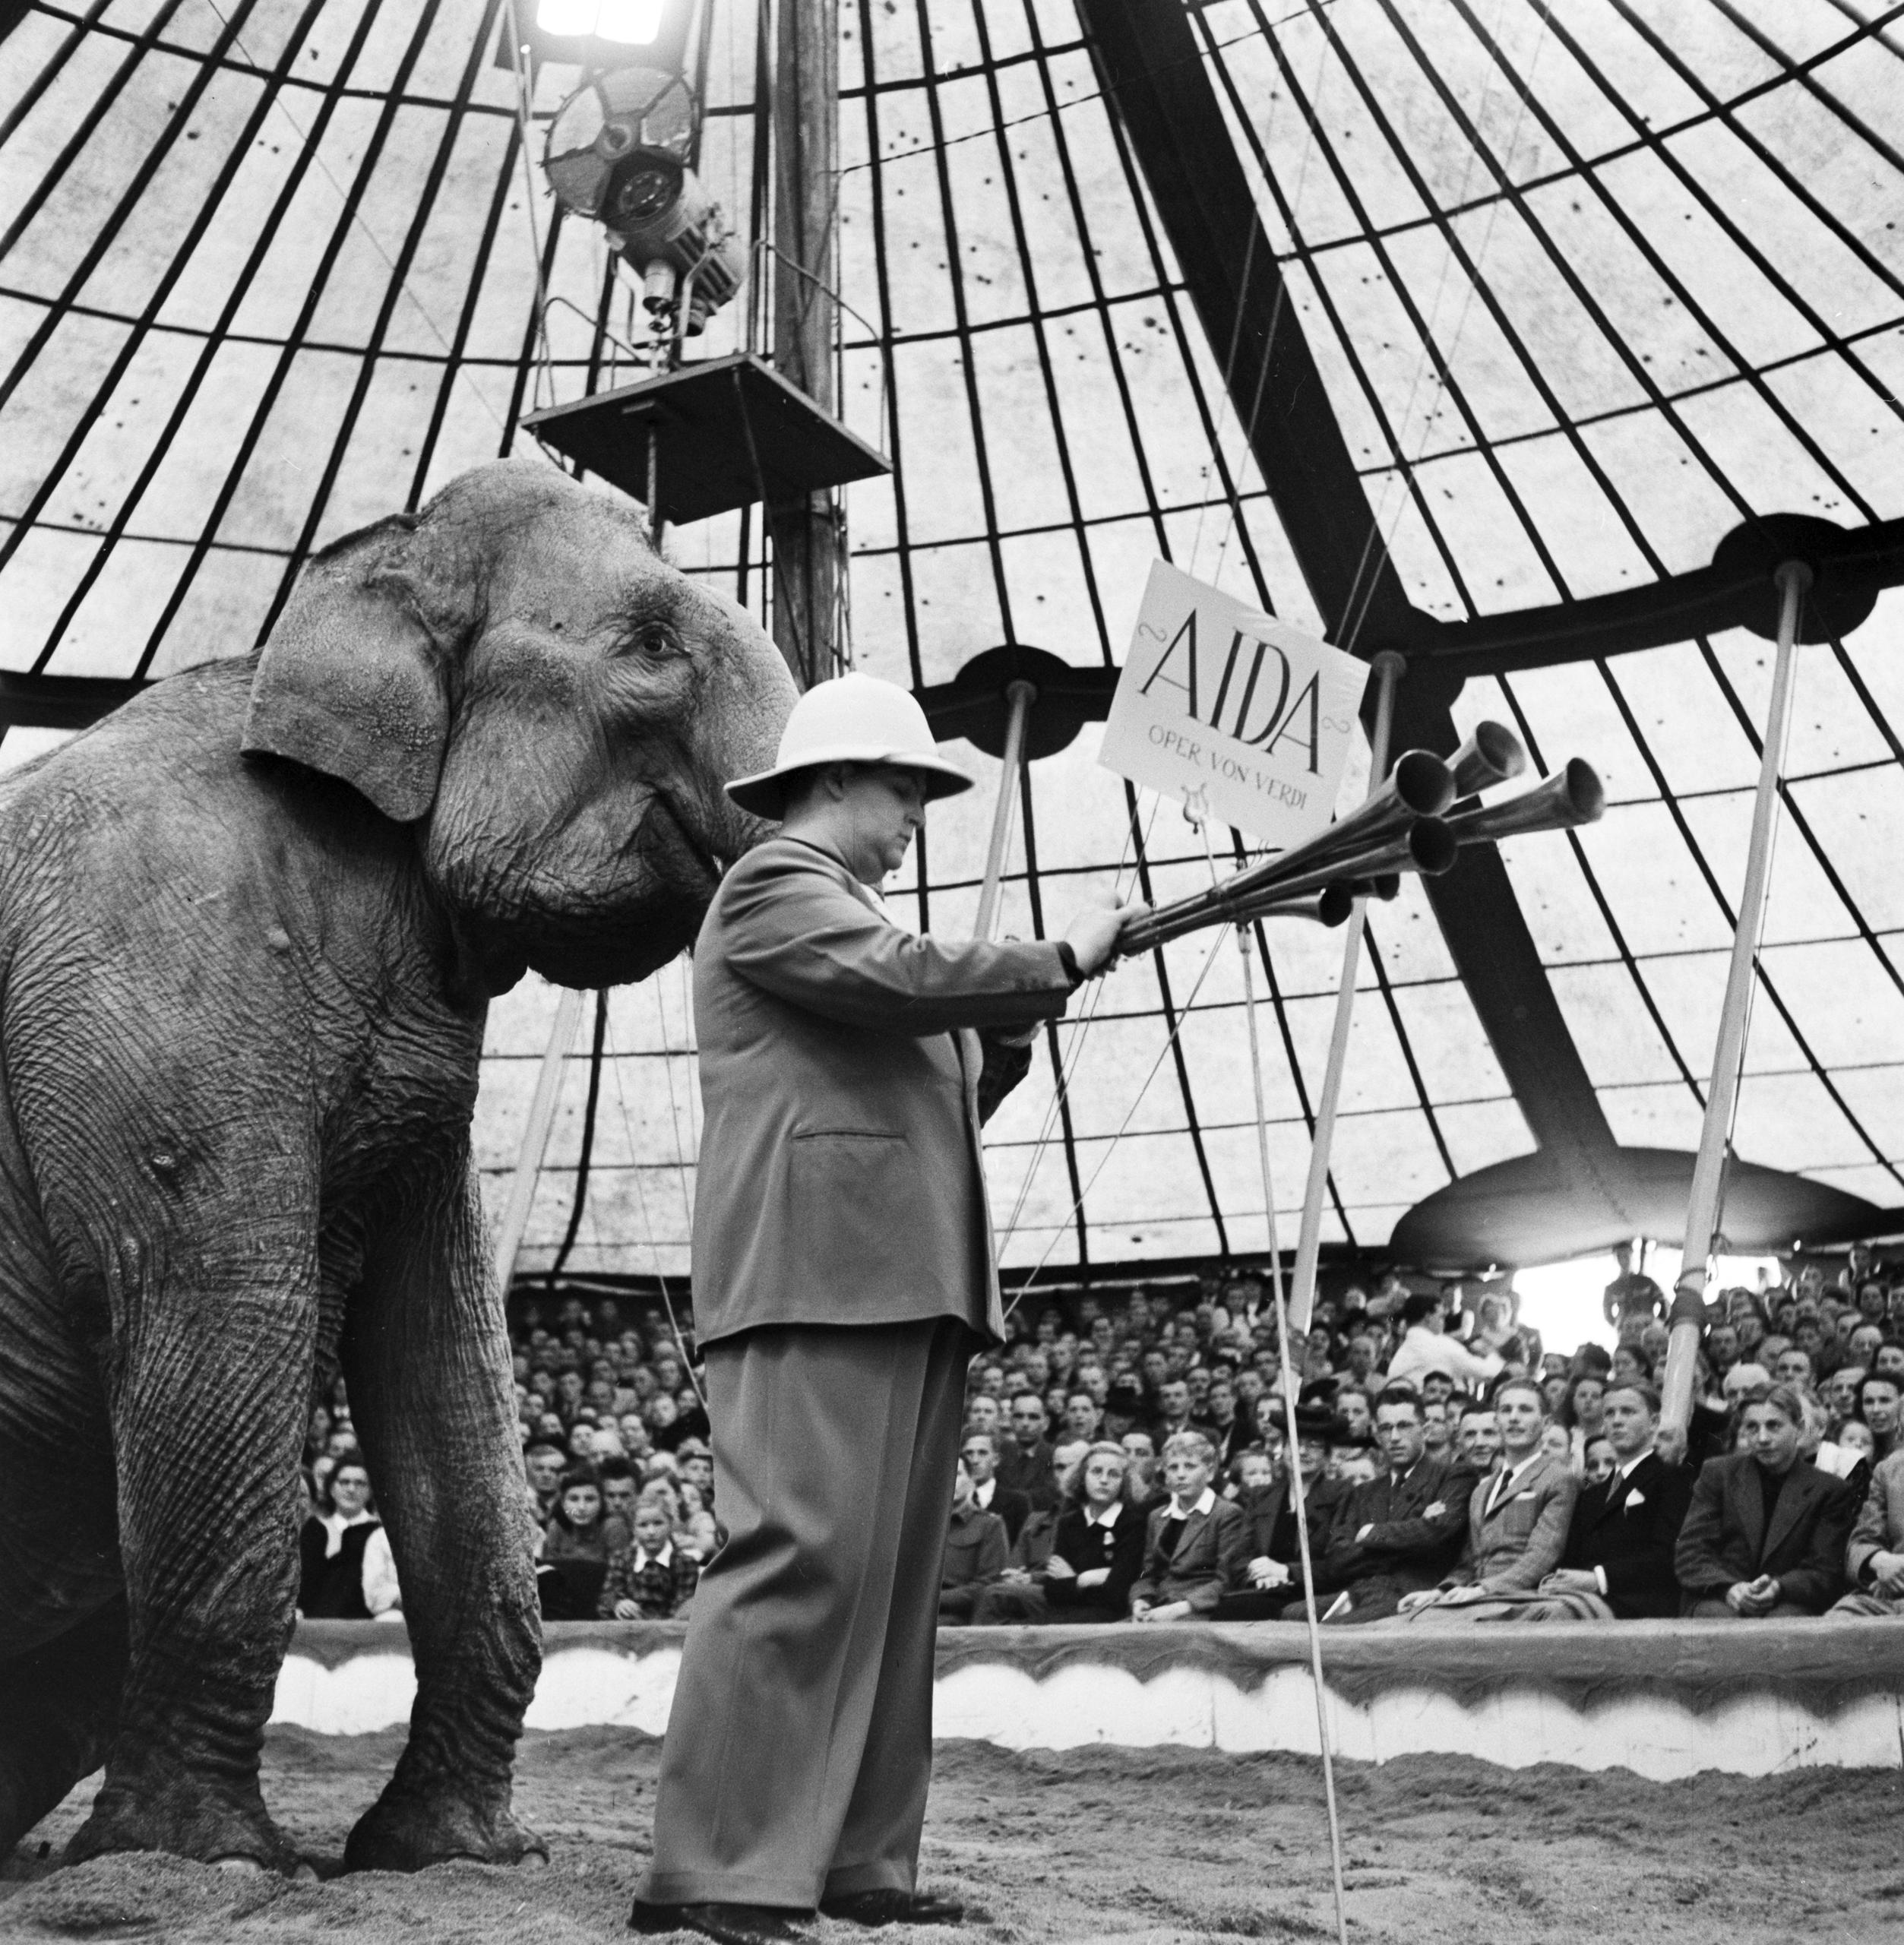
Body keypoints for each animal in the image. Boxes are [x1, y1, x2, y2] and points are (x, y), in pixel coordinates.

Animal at [0, 455, 797, 1867]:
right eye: (649, 648)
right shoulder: (156, 972)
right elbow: (225, 1323)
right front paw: (201, 1858)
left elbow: (446, 1364)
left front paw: (448, 1857)